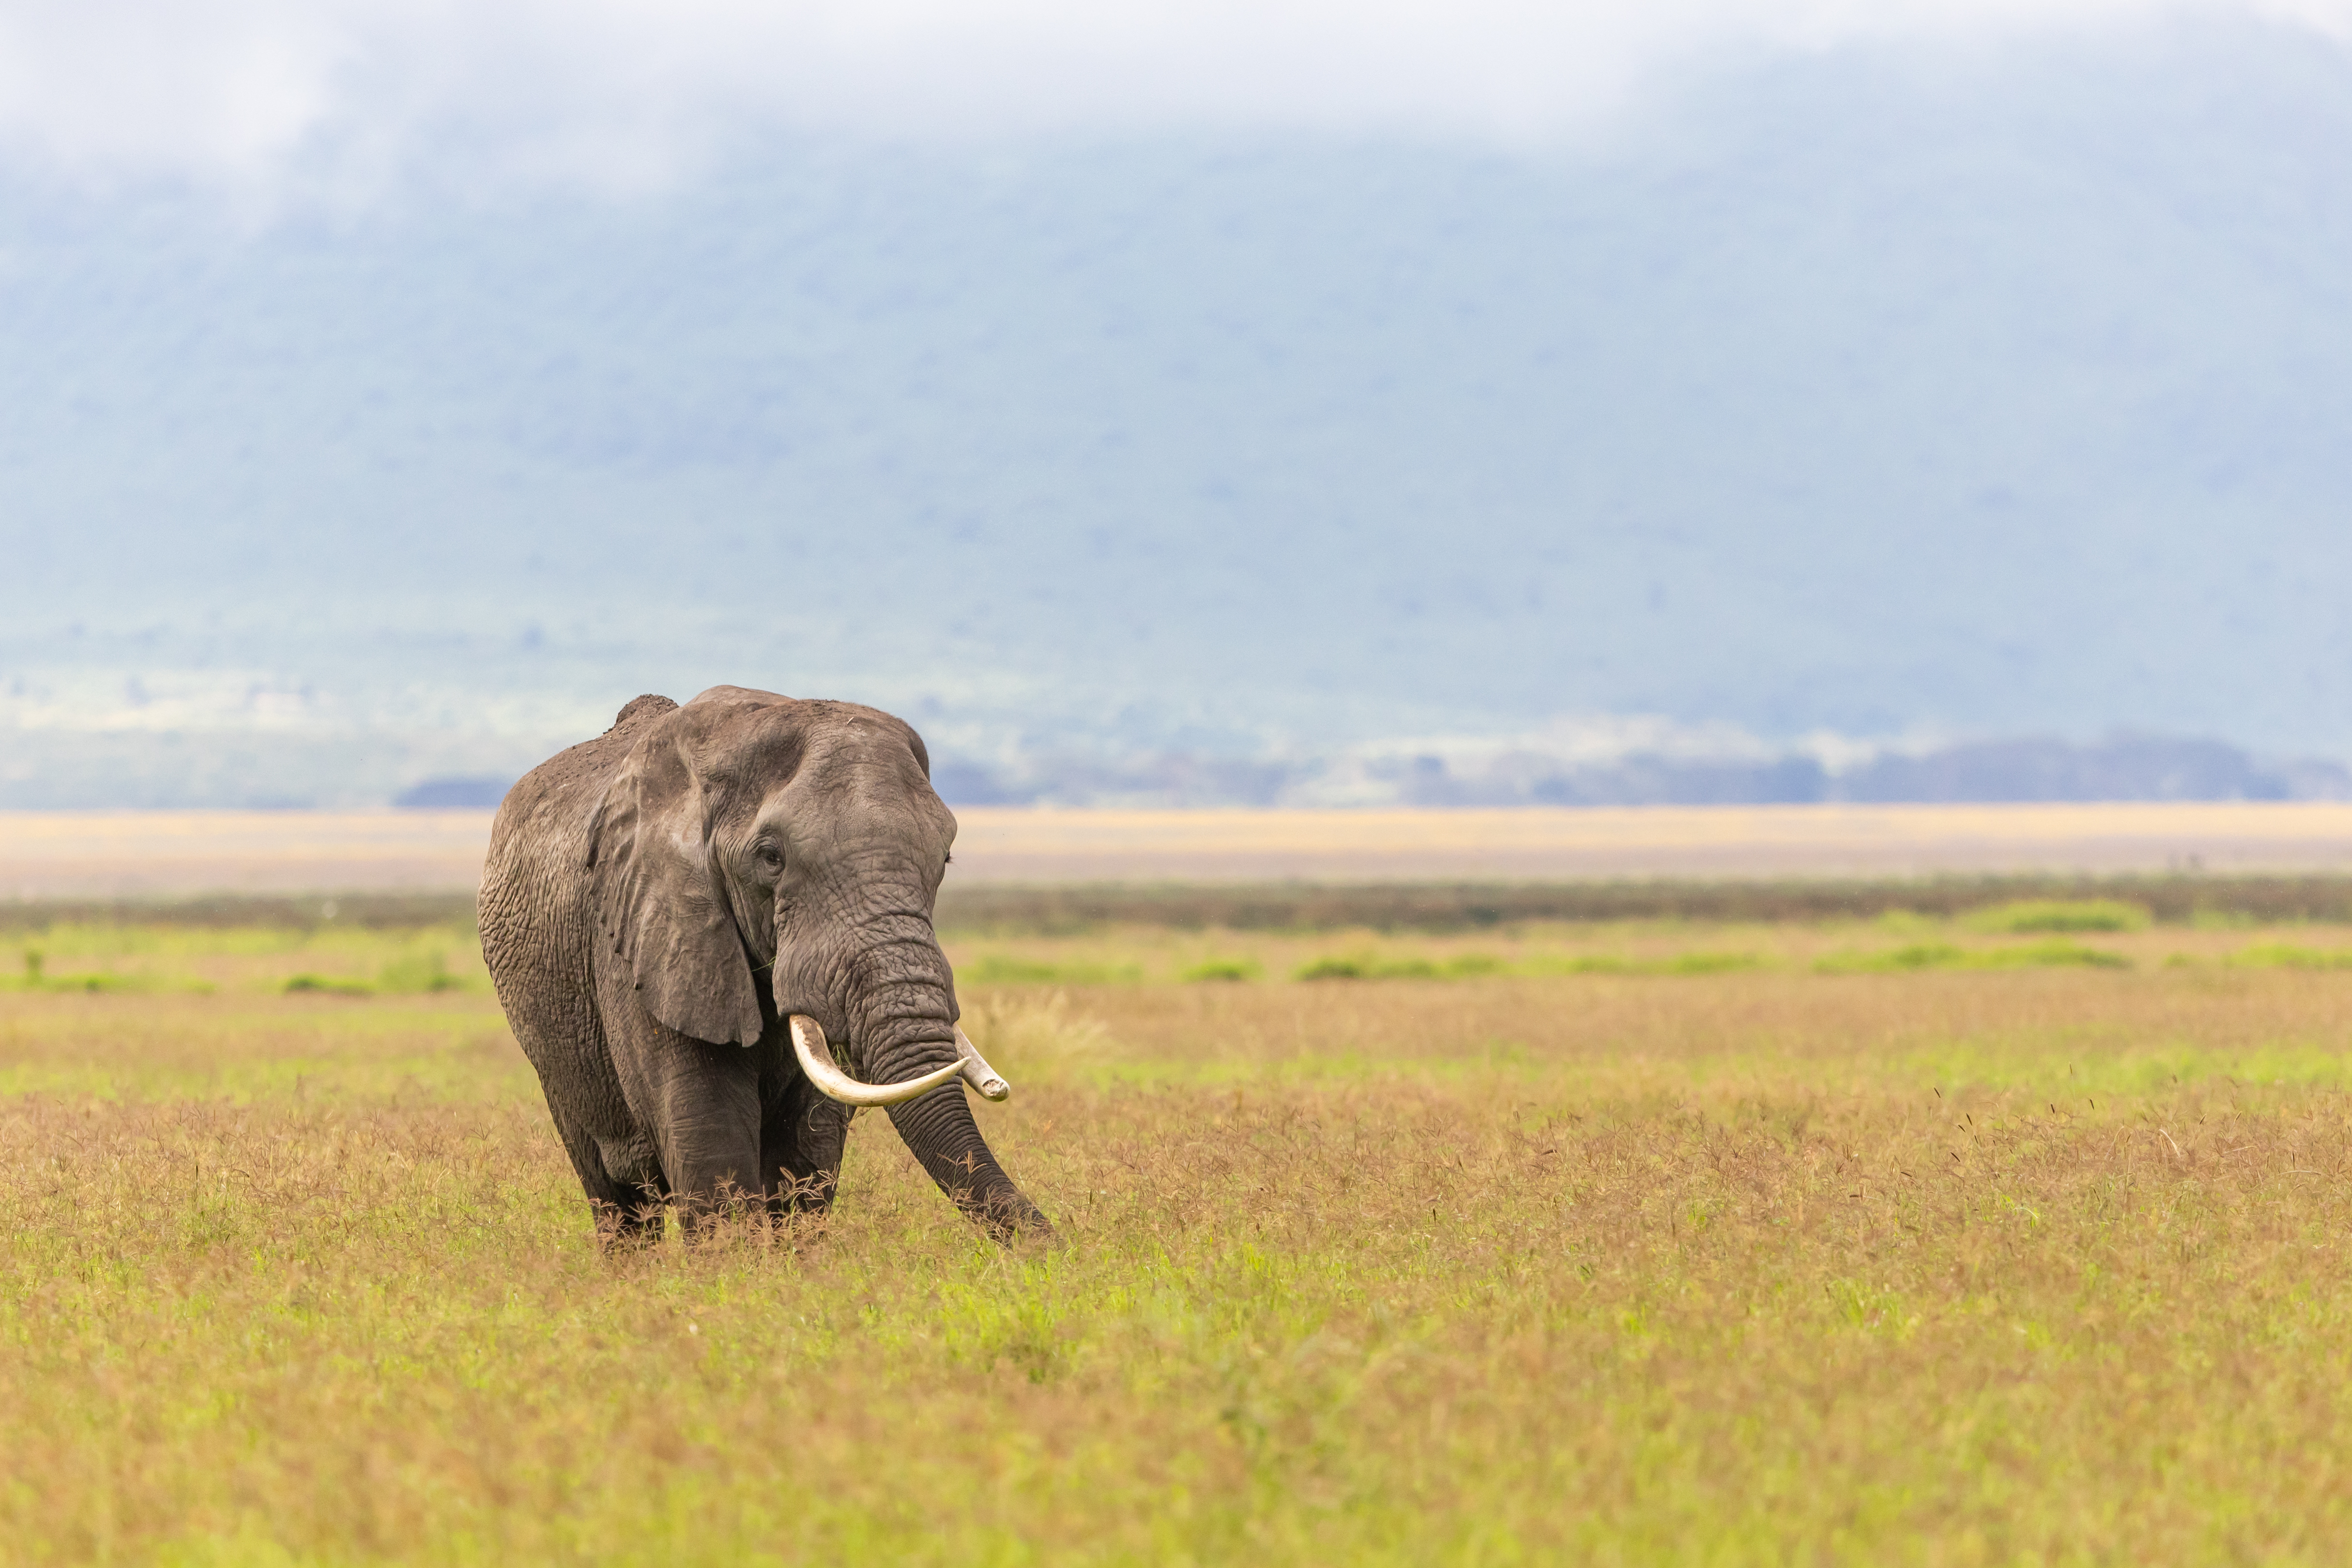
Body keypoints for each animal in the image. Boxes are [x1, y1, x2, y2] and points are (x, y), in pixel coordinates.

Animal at [477, 685, 1050, 1243]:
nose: (1052, 1245)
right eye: (771, 858)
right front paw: (730, 1266)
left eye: (945, 859)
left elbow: (808, 1141)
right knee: (617, 1200)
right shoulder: (642, 935)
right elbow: (709, 1133)